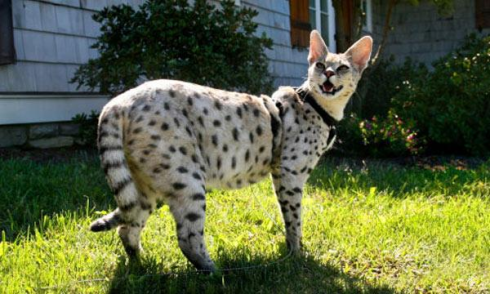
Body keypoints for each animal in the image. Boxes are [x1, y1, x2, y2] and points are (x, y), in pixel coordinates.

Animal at [89, 30, 372, 272]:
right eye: (320, 65)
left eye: (343, 67)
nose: (328, 75)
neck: (319, 107)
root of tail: (118, 102)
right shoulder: (289, 174)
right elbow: (294, 219)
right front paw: (297, 255)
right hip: (187, 180)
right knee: (187, 238)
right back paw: (217, 274)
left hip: (146, 186)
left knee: (127, 227)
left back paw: (141, 264)